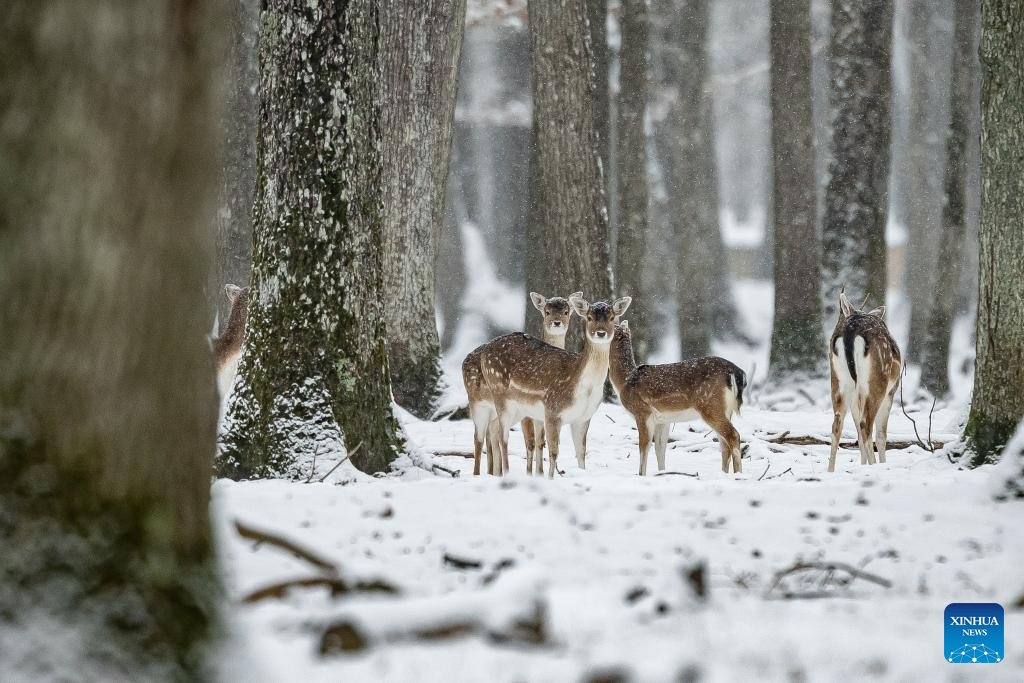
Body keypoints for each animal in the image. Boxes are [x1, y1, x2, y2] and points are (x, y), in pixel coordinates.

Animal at [462, 296, 622, 479]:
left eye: (612, 318)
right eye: (589, 317)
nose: (601, 333)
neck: (584, 387)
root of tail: (485, 350)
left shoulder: (583, 417)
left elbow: (581, 452)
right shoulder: (552, 410)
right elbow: (553, 451)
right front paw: (549, 478)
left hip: (513, 409)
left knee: (493, 432)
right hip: (493, 397)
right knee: (494, 437)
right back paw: (502, 474)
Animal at [606, 321, 745, 475]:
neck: (625, 382)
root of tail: (735, 371)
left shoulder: (642, 411)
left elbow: (644, 447)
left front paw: (641, 475)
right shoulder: (663, 420)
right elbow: (660, 449)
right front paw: (662, 472)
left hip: (710, 405)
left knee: (733, 435)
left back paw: (738, 474)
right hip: (726, 410)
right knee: (724, 444)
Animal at [827, 290, 901, 473]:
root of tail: (850, 329)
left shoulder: (856, 397)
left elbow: (858, 437)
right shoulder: (891, 391)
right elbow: (881, 435)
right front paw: (881, 464)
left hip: (839, 381)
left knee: (837, 424)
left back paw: (830, 471)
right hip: (877, 381)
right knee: (865, 425)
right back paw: (874, 466)